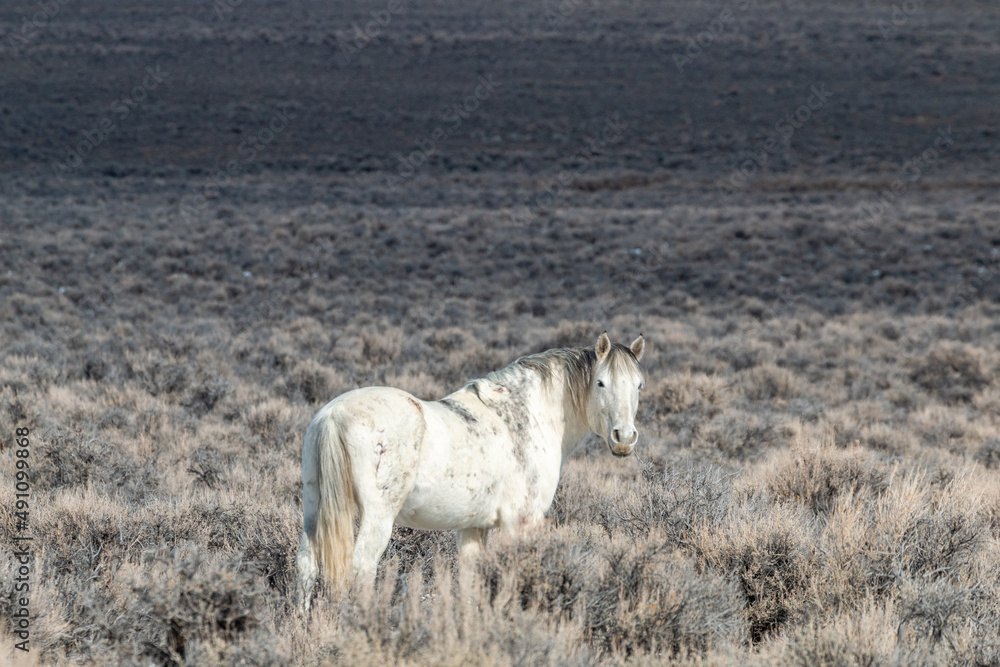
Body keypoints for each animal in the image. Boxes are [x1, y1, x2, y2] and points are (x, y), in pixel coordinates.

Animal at [295, 332, 645, 612]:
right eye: (600, 382)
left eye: (639, 385)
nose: (624, 438)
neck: (527, 416)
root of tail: (334, 414)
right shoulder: (521, 523)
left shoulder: (472, 529)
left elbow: (471, 582)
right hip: (377, 516)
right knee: (362, 567)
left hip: (313, 508)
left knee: (306, 565)